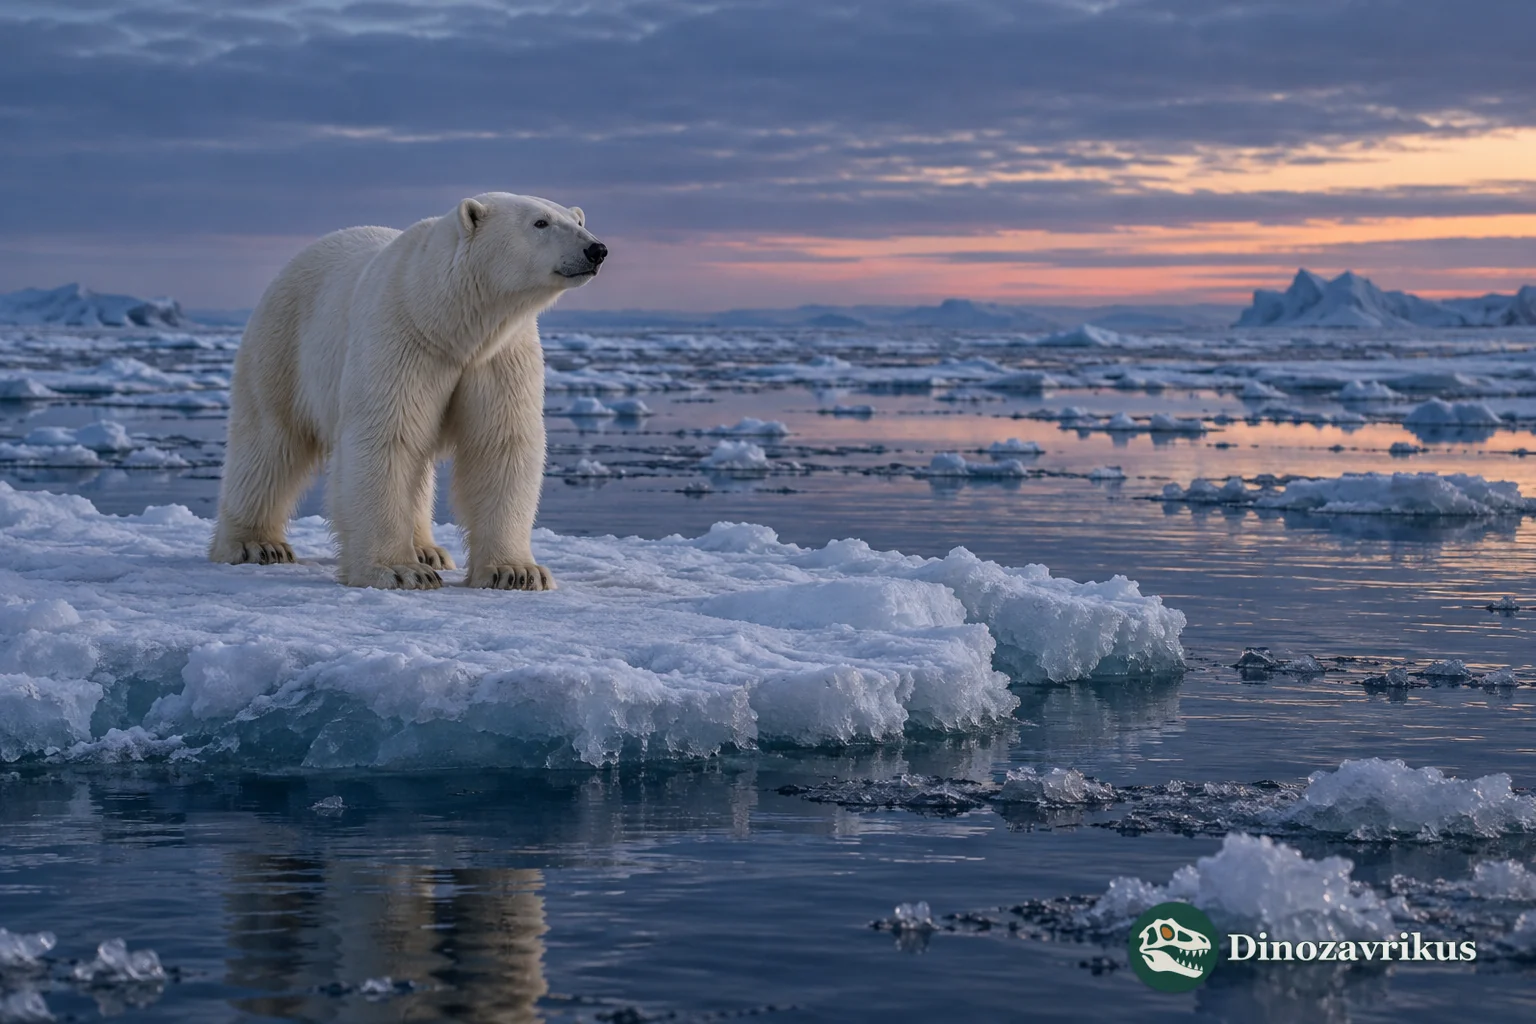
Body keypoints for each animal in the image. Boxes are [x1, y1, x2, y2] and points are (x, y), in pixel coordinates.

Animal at [209, 192, 606, 590]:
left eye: (579, 221)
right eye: (540, 222)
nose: (596, 249)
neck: (446, 321)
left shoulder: (499, 357)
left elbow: (500, 443)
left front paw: (516, 572)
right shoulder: (401, 338)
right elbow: (387, 438)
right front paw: (399, 570)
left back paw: (428, 549)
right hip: (283, 344)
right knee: (269, 443)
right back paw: (255, 545)